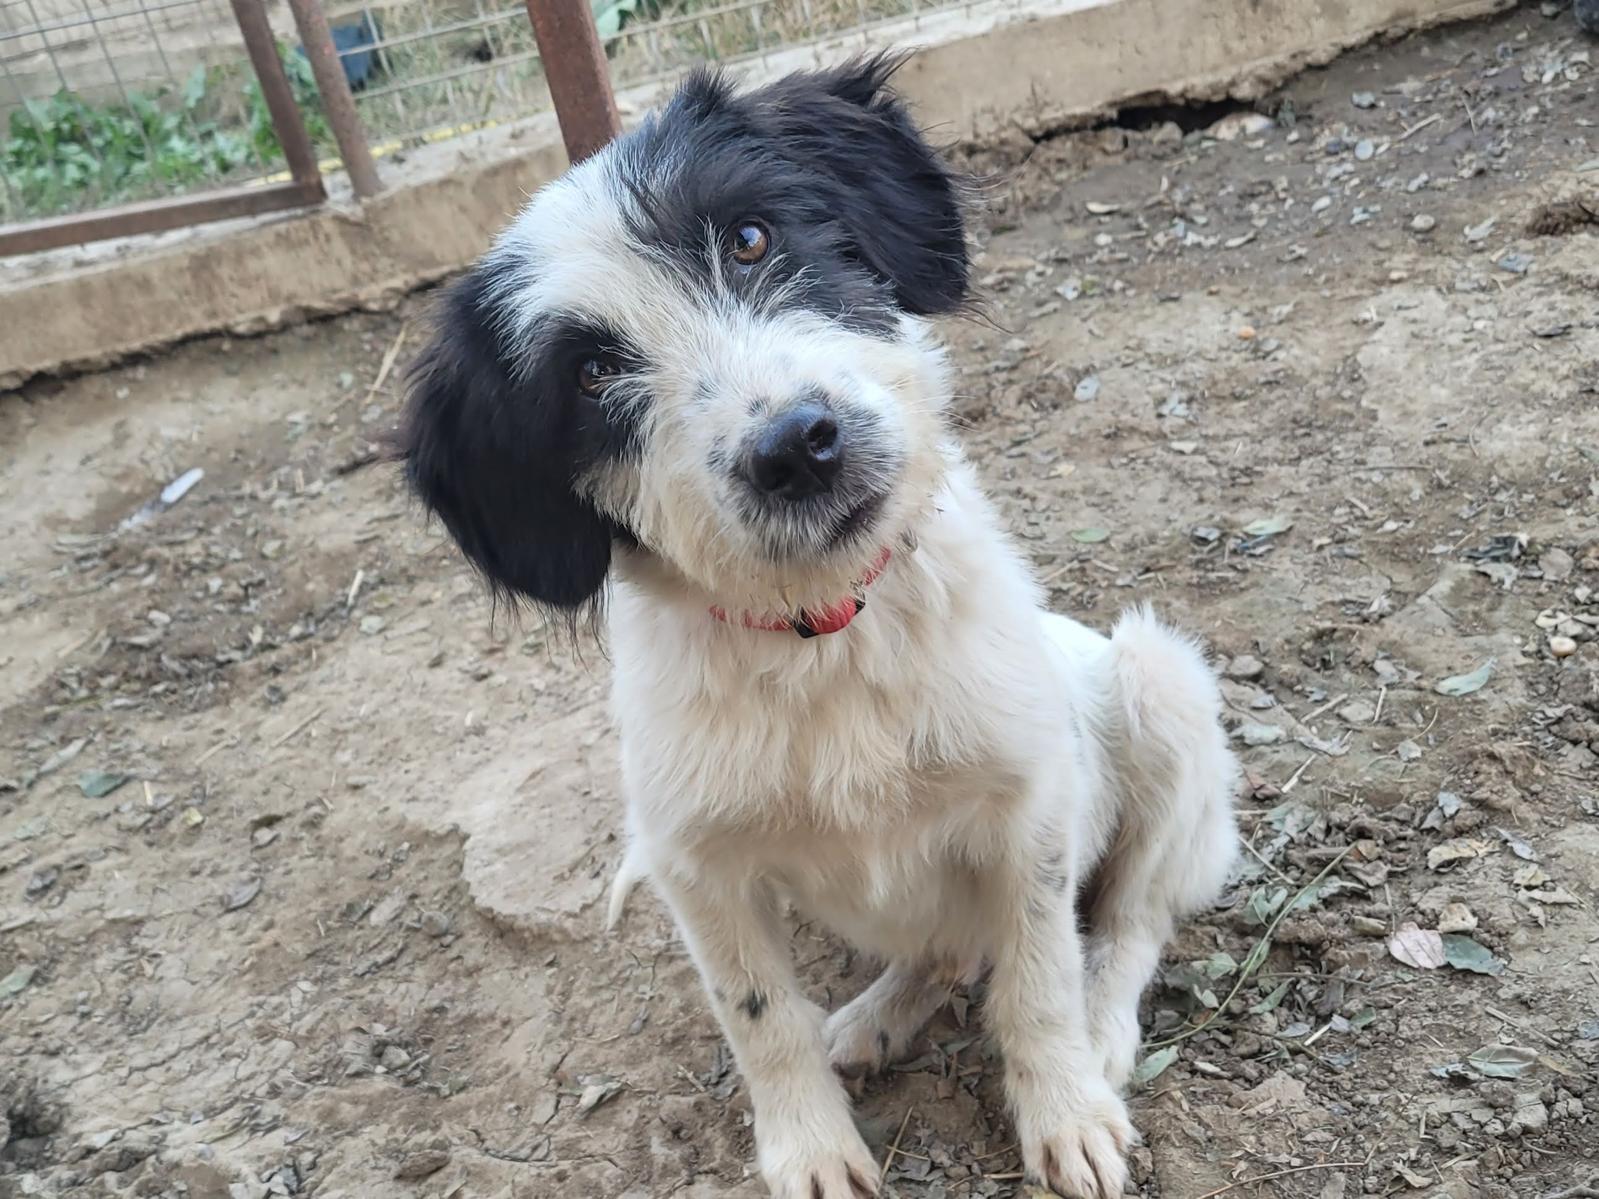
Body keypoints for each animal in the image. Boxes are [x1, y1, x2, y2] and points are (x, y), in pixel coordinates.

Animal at [400, 54, 1240, 1199]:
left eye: (752, 238)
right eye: (589, 375)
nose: (795, 446)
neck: (829, 634)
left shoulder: (1029, 810)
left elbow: (1038, 973)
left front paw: (1063, 1112)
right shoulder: (697, 867)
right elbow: (759, 1017)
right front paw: (810, 1147)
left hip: (1161, 684)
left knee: (1128, 920)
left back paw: (1103, 1027)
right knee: (943, 950)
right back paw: (874, 1021)